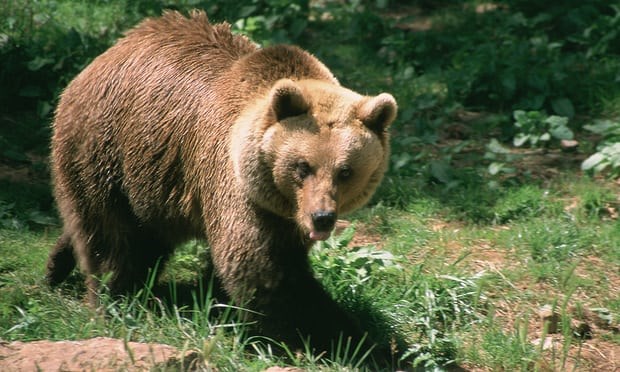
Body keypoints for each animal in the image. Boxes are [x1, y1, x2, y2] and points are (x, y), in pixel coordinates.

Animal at [47, 9, 398, 358]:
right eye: (303, 166)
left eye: (345, 171)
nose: (322, 217)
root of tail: (105, 54)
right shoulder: (234, 186)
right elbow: (263, 270)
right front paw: (346, 339)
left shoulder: (281, 216)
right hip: (109, 149)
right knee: (115, 237)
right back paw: (114, 300)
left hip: (154, 181)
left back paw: (56, 265)